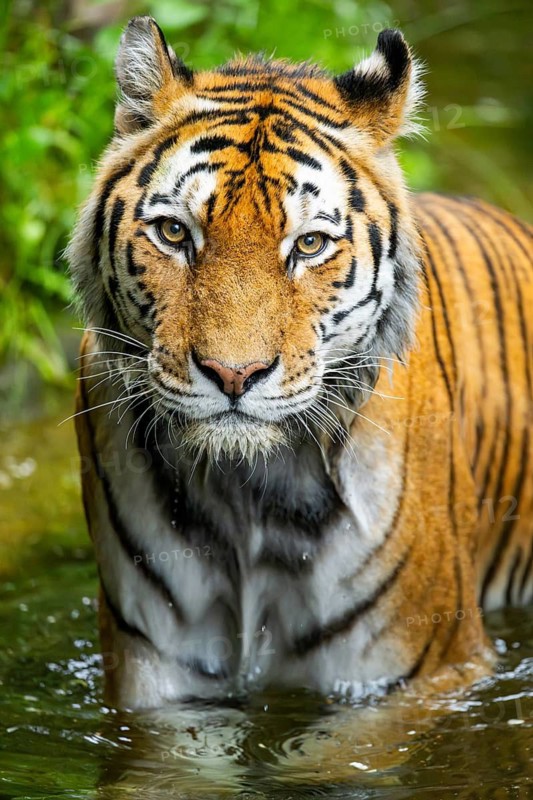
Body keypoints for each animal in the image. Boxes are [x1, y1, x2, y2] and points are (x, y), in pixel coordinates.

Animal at [68, 16, 533, 710]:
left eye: (309, 244)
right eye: (175, 234)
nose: (233, 375)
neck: (247, 496)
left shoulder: (411, 678)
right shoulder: (157, 677)